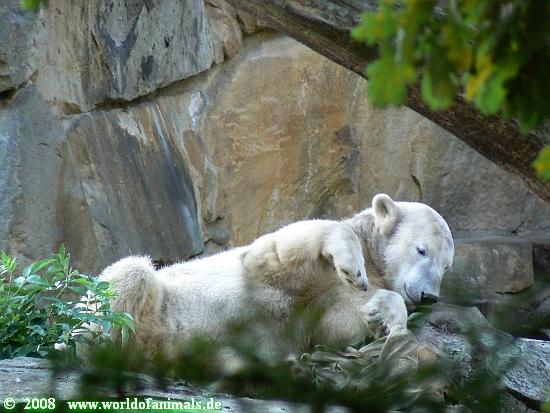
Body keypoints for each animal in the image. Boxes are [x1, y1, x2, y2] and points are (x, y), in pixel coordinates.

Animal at [100, 194, 454, 357]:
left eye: (447, 265)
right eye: (422, 250)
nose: (429, 296)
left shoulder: (322, 307)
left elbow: (334, 323)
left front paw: (383, 319)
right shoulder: (259, 264)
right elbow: (278, 251)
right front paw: (351, 267)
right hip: (159, 299)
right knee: (132, 274)